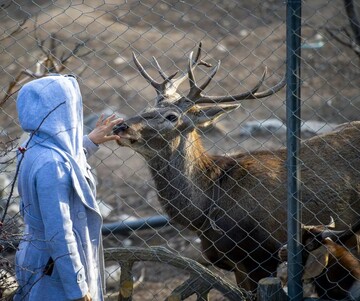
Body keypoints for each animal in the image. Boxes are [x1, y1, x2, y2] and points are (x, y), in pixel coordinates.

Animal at [112, 43, 360, 290]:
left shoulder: (263, 257)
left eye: (172, 116)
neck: (205, 213)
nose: (120, 126)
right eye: (147, 108)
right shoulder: (236, 266)